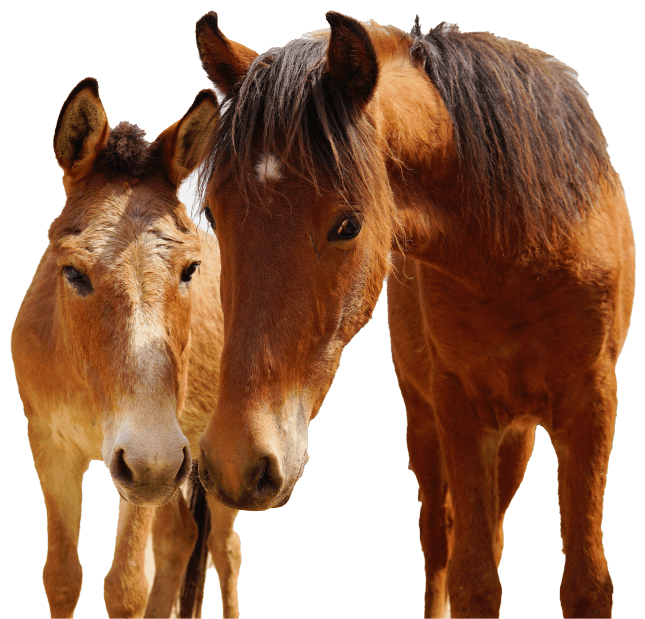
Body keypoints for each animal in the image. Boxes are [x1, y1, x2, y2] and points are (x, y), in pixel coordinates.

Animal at [11, 77, 241, 619]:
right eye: (72, 273)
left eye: (189, 270)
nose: (154, 463)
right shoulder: (52, 446)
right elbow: (61, 577)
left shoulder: (148, 461)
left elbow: (126, 585)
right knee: (181, 537)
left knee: (224, 547)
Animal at [192, 11, 635, 619]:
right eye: (212, 213)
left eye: (348, 225)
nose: (237, 461)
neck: (522, 249)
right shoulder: (459, 409)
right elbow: (473, 579)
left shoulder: (591, 401)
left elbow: (587, 583)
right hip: (428, 425)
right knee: (439, 540)